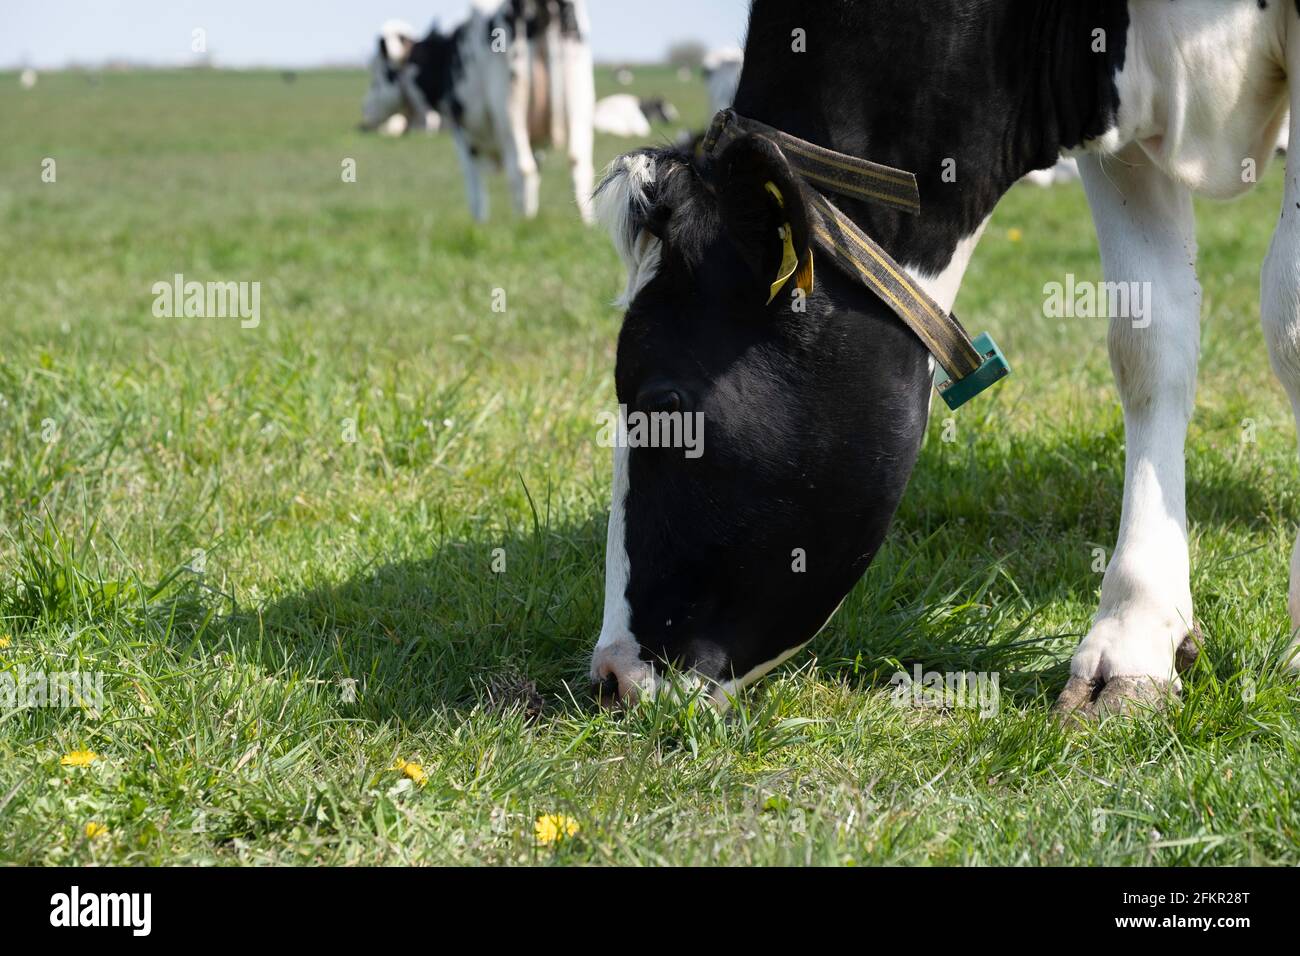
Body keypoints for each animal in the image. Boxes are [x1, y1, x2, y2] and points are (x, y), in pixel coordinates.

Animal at [361, 2, 595, 222]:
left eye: (377, 77)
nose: (364, 114)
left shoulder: (461, 130)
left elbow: (475, 188)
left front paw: (480, 223)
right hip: (579, 100)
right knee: (578, 164)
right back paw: (586, 225)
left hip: (509, 110)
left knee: (522, 169)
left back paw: (522, 223)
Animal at [592, 0, 1300, 717]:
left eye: (663, 401)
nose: (610, 677)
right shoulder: (1111, 110)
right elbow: (1147, 339)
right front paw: (1134, 638)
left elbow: (1288, 322)